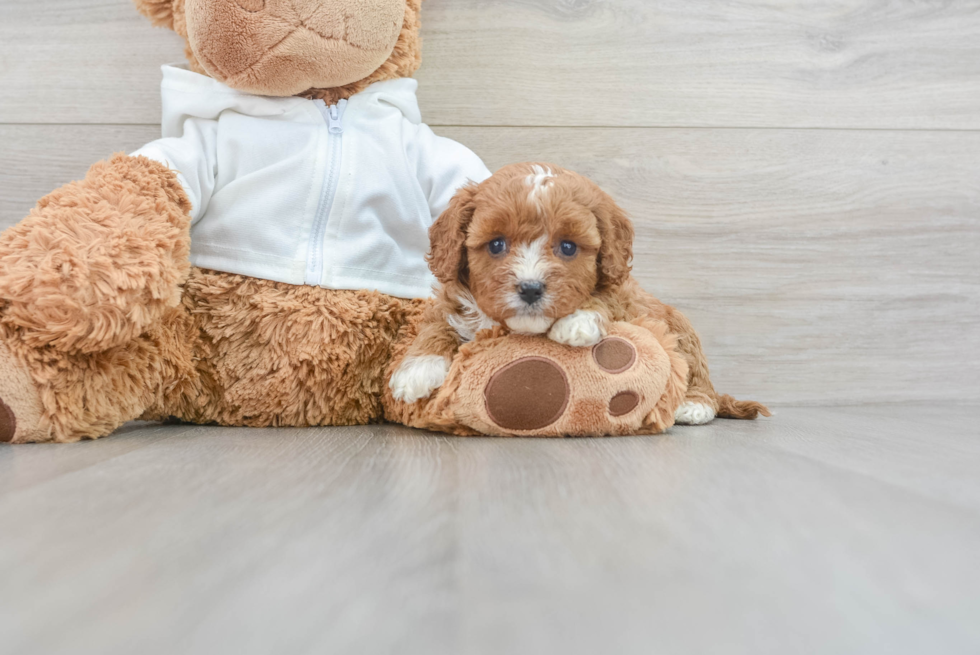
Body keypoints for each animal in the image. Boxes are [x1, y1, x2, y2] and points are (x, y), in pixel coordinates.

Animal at [386, 164, 768, 426]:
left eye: (568, 247)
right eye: (496, 244)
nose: (530, 288)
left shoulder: (621, 292)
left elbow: (603, 299)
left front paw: (577, 321)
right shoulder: (451, 300)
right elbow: (437, 324)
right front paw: (416, 370)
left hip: (683, 333)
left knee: (697, 374)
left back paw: (694, 406)